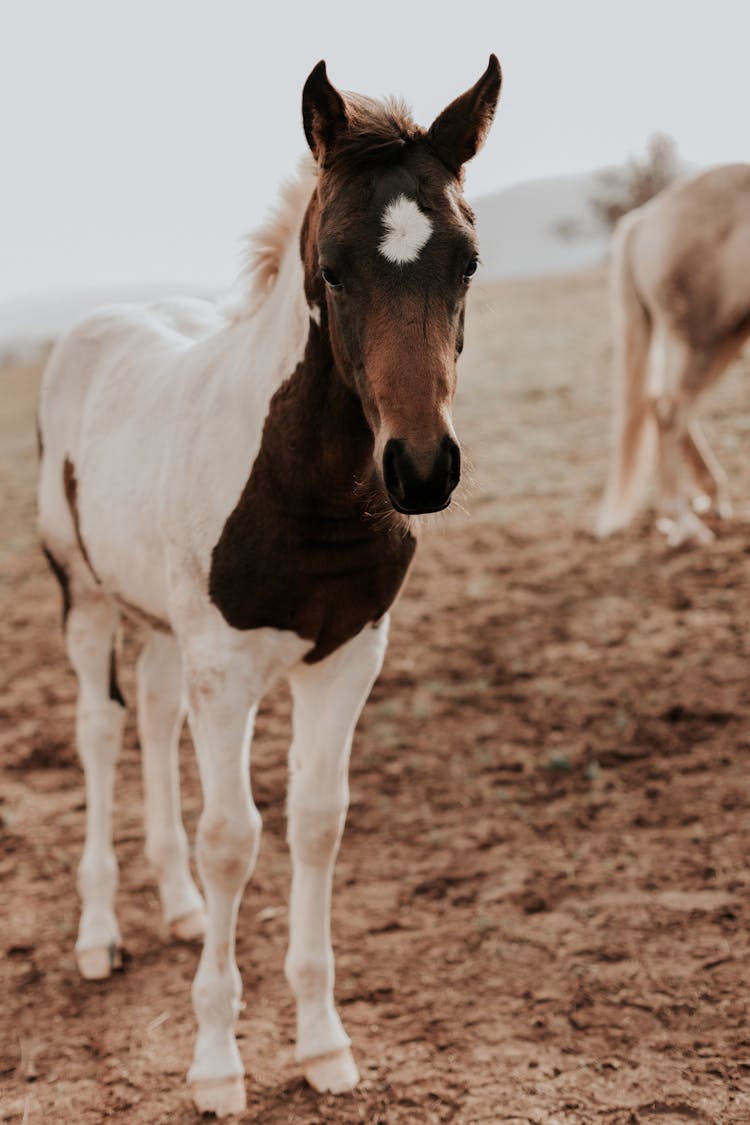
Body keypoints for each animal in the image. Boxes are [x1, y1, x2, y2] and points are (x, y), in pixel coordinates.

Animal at [36, 59, 503, 1116]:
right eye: (331, 267)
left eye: (467, 261)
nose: (422, 469)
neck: (307, 485)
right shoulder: (230, 667)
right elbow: (234, 837)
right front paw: (217, 1064)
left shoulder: (348, 655)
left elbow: (315, 825)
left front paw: (325, 1045)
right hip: (86, 599)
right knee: (100, 730)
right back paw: (98, 935)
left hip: (163, 623)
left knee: (152, 712)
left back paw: (174, 907)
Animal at [598, 163, 750, 544]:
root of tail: (646, 219)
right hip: (705, 337)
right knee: (669, 411)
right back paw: (685, 523)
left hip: (726, 334)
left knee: (666, 403)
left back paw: (708, 499)